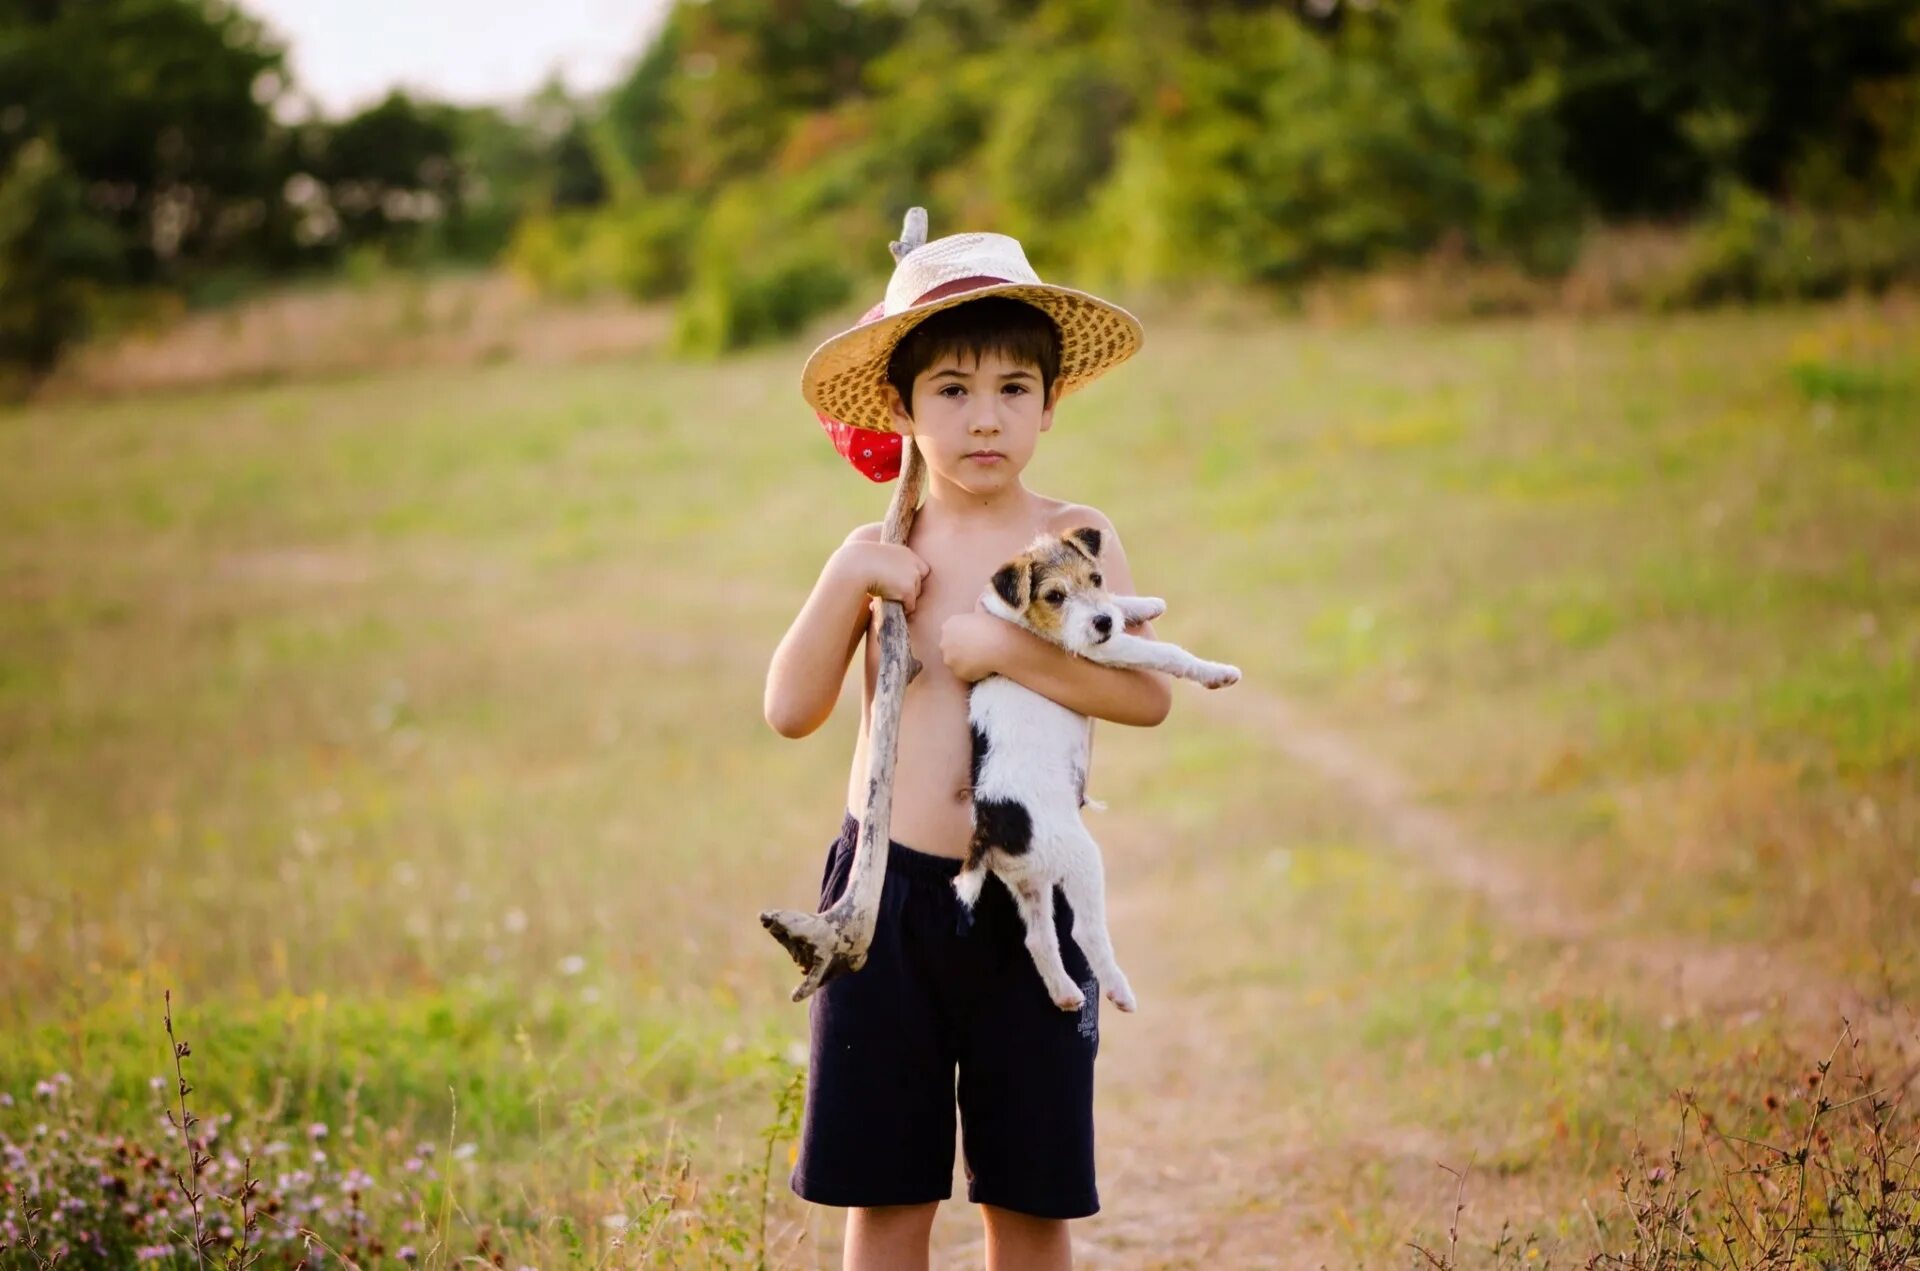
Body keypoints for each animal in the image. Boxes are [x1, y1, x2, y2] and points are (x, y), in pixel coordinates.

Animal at [948, 526, 1236, 1013]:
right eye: (1054, 595)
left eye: (1095, 577)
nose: (1101, 622)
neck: (1016, 616)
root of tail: (989, 827)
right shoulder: (1099, 651)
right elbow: (1165, 652)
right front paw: (1216, 672)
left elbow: (1120, 605)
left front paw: (1143, 604)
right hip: (1079, 858)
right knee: (1084, 931)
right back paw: (1119, 991)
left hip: (1029, 882)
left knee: (1038, 940)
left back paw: (1065, 994)